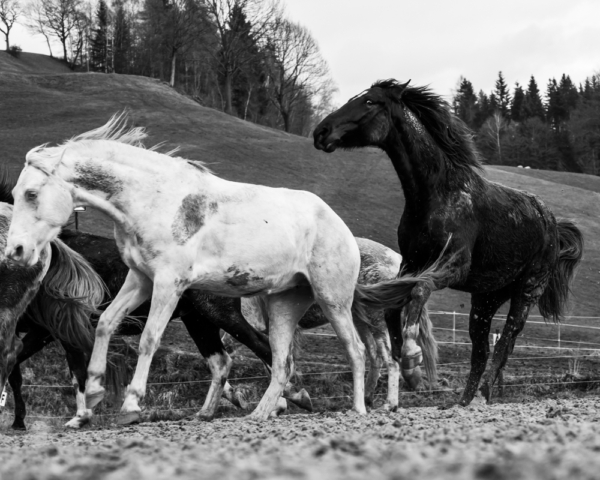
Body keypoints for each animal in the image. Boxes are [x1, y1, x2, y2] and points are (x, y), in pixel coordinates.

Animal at [3, 115, 370, 424]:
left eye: (32, 193)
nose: (15, 251)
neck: (154, 200)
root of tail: (339, 225)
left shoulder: (168, 283)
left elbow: (150, 338)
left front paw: (131, 405)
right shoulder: (141, 280)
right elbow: (106, 323)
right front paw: (94, 391)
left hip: (331, 300)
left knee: (354, 349)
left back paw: (357, 409)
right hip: (282, 305)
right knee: (279, 361)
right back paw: (260, 412)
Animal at [312, 80, 584, 406]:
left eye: (368, 101)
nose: (321, 132)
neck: (435, 195)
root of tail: (552, 223)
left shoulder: (454, 265)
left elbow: (419, 291)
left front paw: (412, 355)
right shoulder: (411, 264)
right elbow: (393, 308)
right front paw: (406, 361)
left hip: (528, 290)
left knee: (506, 340)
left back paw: (483, 394)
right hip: (485, 299)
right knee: (480, 350)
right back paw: (464, 402)